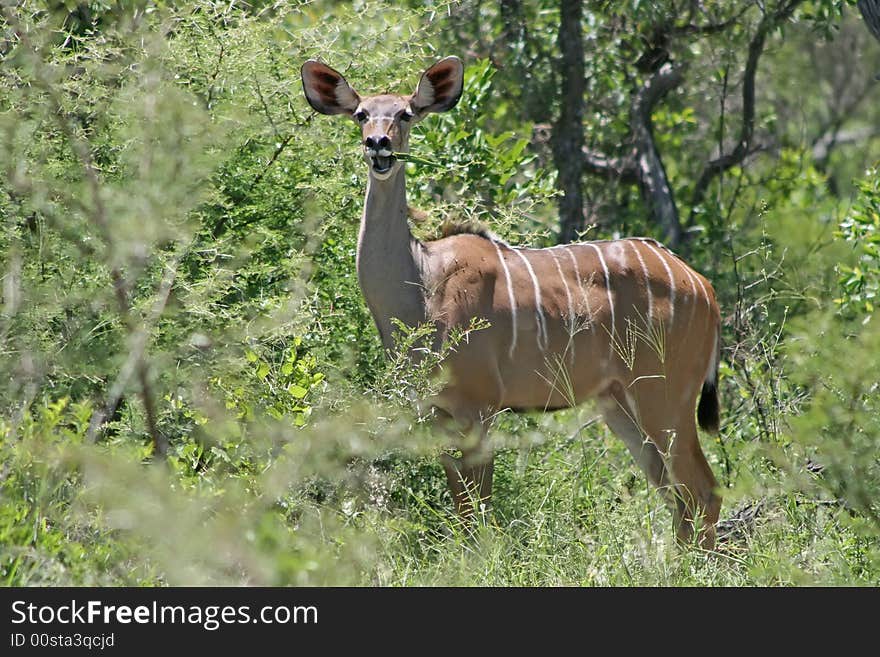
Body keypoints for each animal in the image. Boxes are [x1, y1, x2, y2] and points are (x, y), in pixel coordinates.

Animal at [302, 57, 720, 548]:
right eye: (361, 114)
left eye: (404, 113)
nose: (378, 146)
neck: (421, 283)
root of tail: (703, 285)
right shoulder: (437, 412)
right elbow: (463, 504)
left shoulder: (478, 406)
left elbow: (476, 511)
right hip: (618, 401)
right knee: (676, 494)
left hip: (664, 394)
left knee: (701, 490)